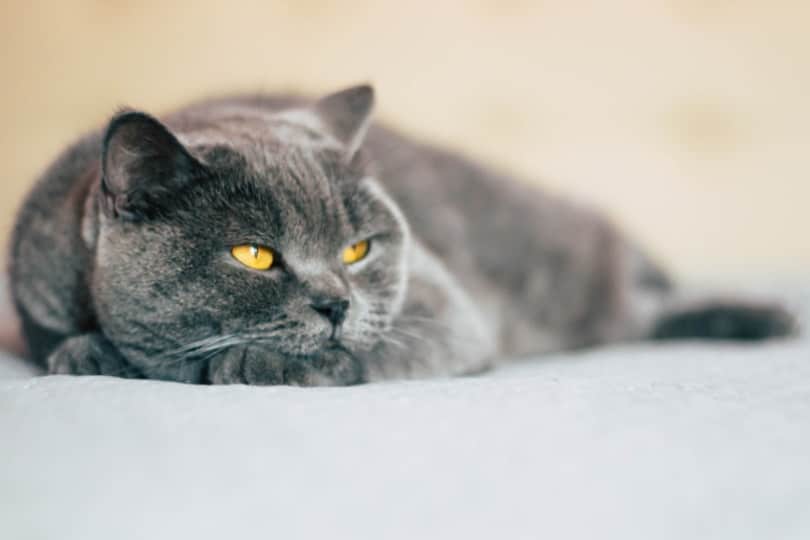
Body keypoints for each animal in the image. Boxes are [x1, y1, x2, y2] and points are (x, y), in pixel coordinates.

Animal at [7, 84, 796, 386]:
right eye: (254, 255)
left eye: (357, 250)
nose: (336, 304)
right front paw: (90, 353)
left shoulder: (444, 312)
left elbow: (369, 353)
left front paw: (247, 364)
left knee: (642, 305)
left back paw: (765, 318)